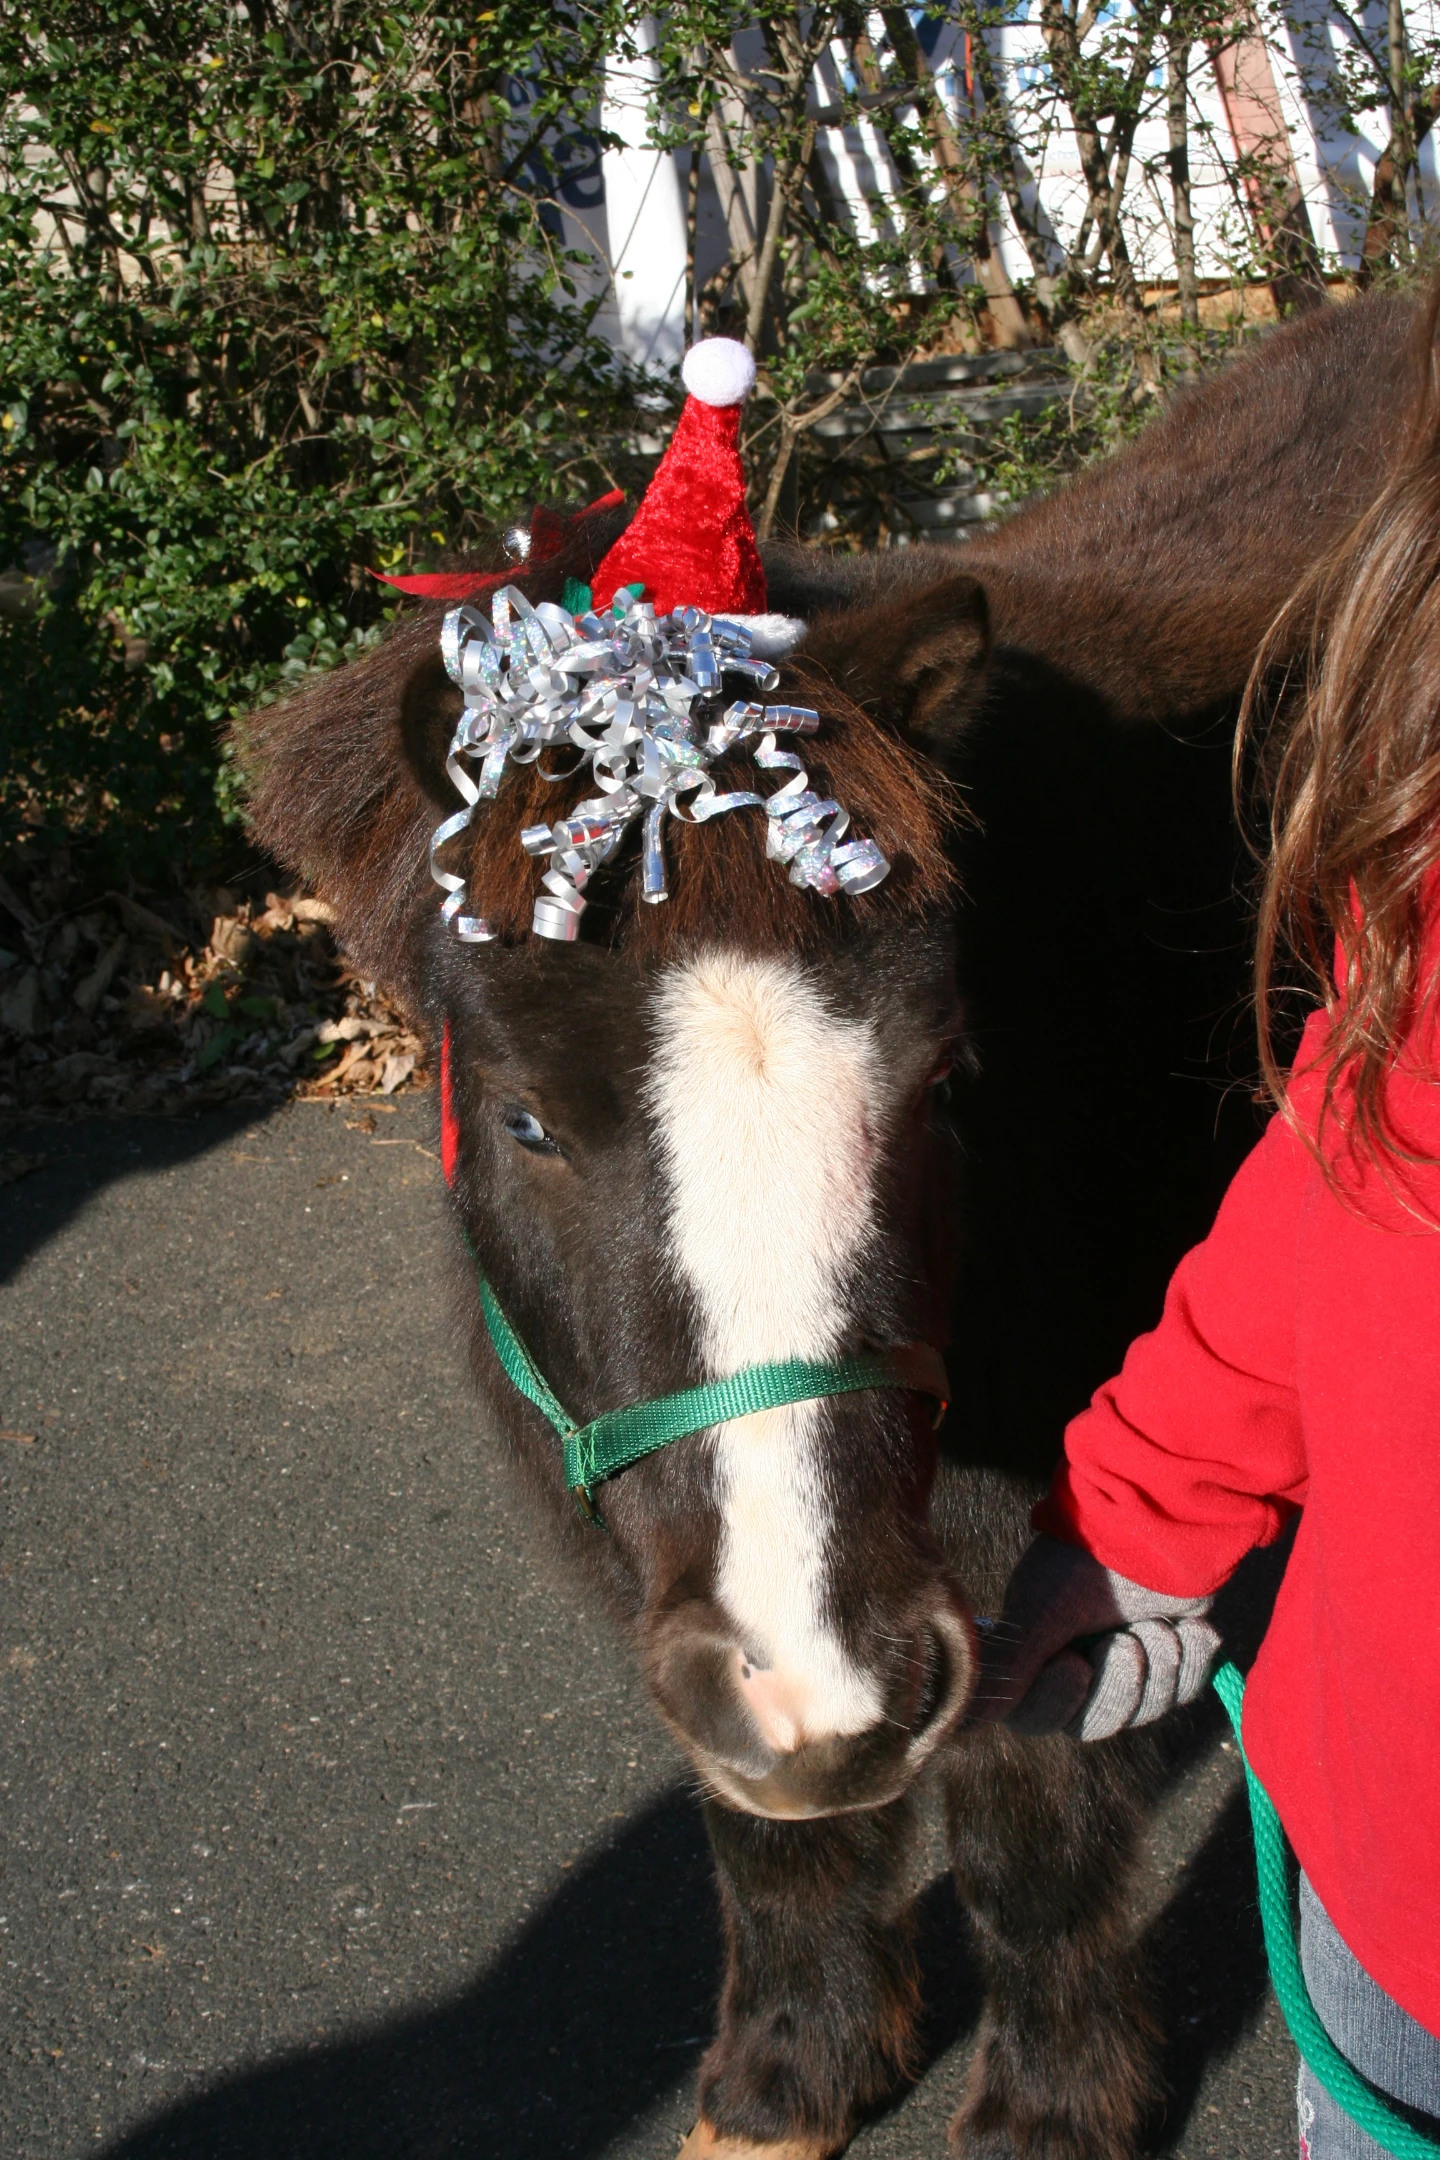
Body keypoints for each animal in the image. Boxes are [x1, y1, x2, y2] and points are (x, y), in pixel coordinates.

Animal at [242, 292, 1419, 2159]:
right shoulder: (682, 1580)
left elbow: (1028, 1831)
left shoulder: (1027, 1552)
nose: (826, 1683)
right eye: (524, 1116)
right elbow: (767, 1833)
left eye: (945, 1072)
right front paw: (786, 2079)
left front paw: (1043, 2112)